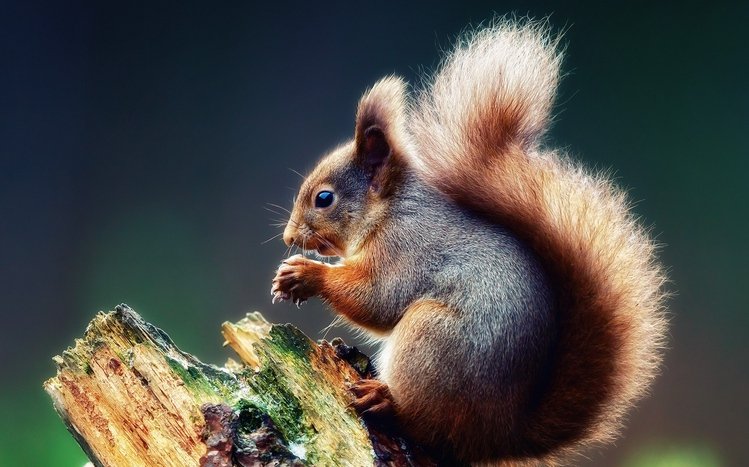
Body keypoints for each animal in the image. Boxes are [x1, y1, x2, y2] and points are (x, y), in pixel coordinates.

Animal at [270, 19, 668, 466]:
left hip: (433, 339)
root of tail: (497, 437)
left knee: (423, 422)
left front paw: (304, 274)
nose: (288, 237)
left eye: (324, 198)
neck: (390, 210)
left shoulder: (406, 249)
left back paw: (383, 400)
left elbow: (379, 298)